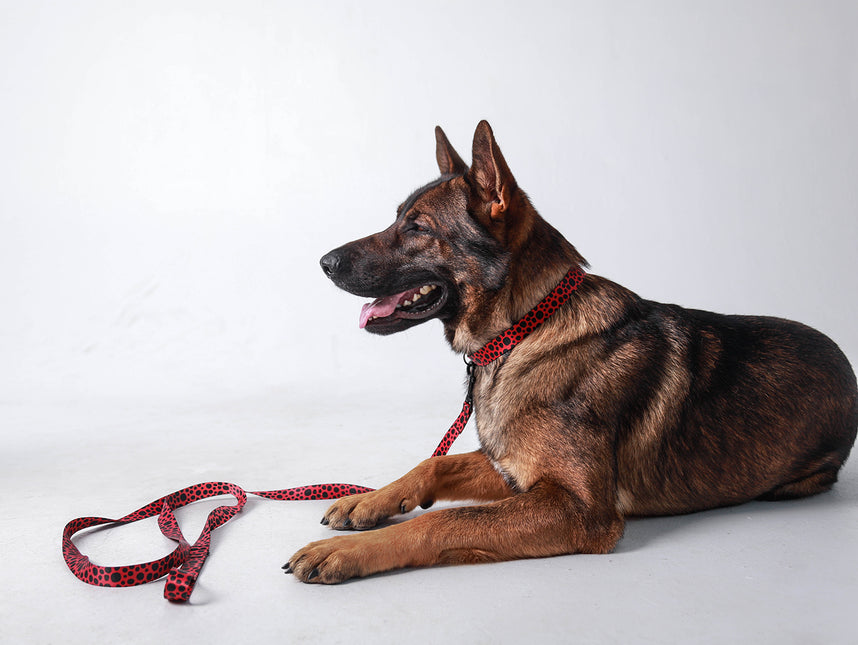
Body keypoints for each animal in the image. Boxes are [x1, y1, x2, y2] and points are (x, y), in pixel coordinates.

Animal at [284, 119, 852, 584]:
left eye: (418, 227)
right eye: (399, 218)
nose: (324, 262)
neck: (525, 330)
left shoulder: (577, 508)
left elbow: (444, 520)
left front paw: (349, 551)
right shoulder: (513, 471)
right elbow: (433, 465)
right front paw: (369, 501)